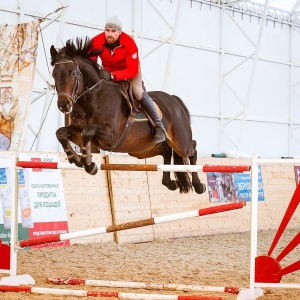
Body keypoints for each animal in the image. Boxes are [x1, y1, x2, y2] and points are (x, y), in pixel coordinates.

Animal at [49, 37, 206, 195]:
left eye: (73, 73)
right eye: (54, 75)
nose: (63, 104)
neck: (91, 98)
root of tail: (175, 100)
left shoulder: (111, 136)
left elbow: (88, 131)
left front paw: (88, 164)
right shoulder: (77, 131)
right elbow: (61, 133)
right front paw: (75, 159)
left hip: (181, 142)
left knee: (192, 148)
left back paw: (199, 185)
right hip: (141, 150)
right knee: (166, 151)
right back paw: (169, 182)